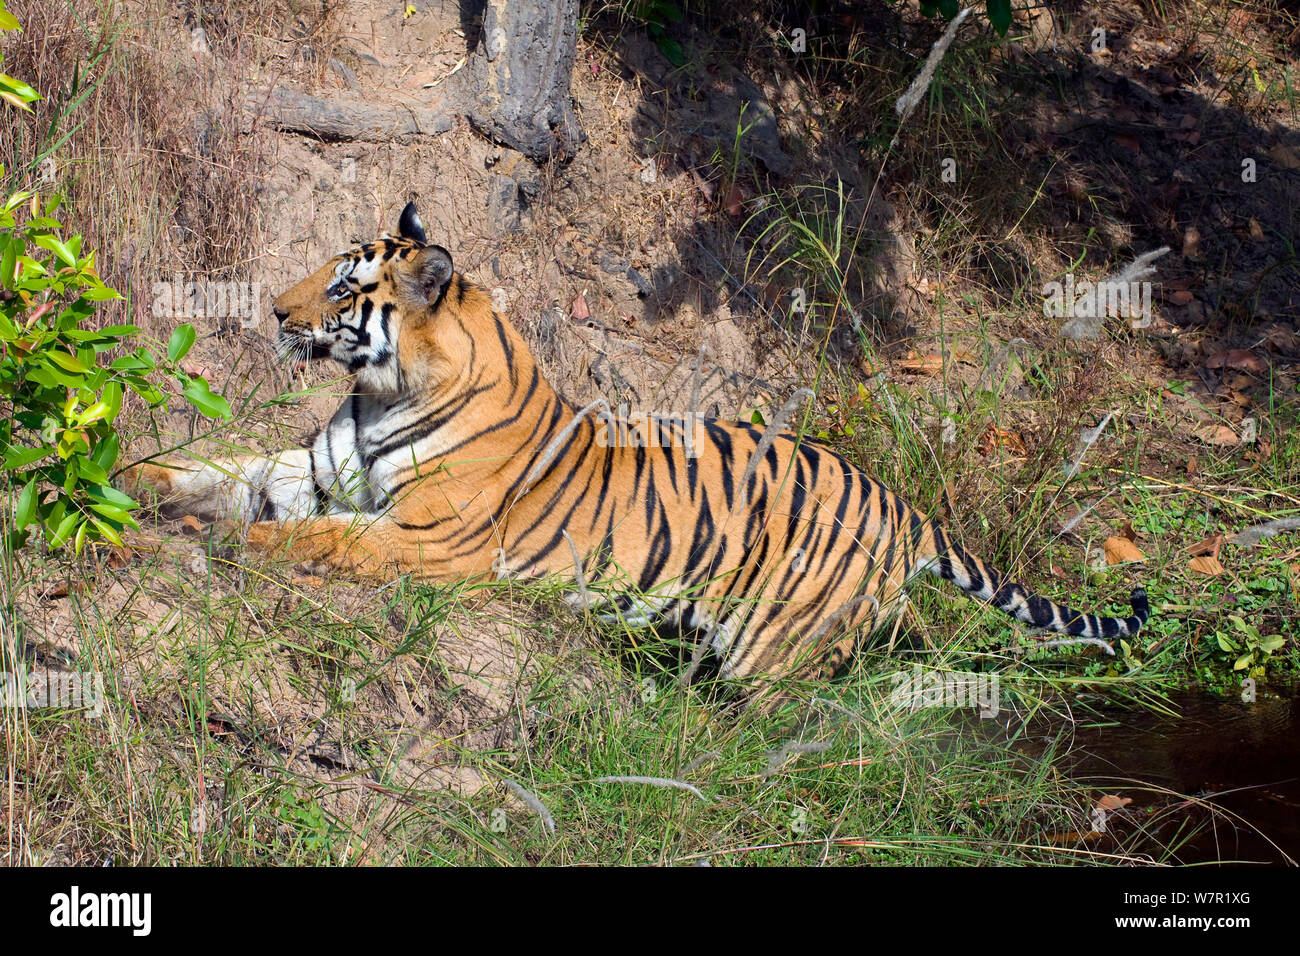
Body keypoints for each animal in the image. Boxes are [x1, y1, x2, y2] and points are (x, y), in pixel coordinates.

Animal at [124, 200, 1149, 681]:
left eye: (343, 287)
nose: (272, 309)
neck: (378, 396)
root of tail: (902, 503)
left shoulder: (429, 542)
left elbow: (315, 539)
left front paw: (240, 544)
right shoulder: (311, 472)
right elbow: (216, 470)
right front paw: (141, 490)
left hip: (779, 652)